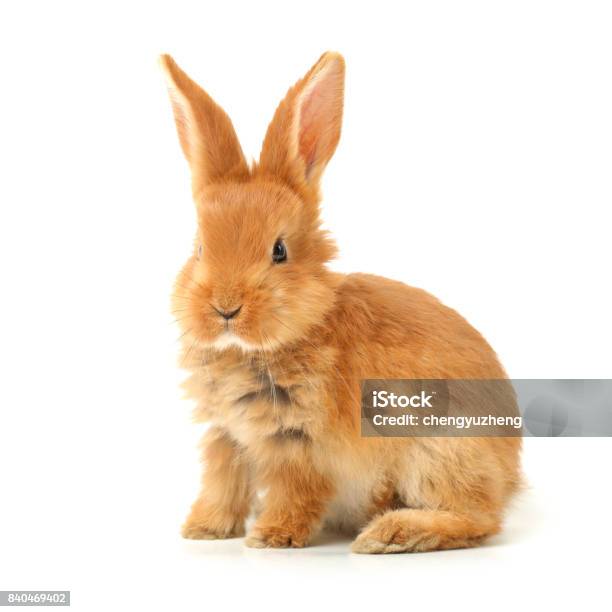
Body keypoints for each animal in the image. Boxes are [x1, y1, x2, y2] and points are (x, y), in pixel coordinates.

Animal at [160, 50, 524, 552]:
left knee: (478, 518)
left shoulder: (301, 443)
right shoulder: (226, 435)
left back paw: (390, 533)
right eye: (198, 249)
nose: (225, 308)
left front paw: (271, 536)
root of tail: (511, 474)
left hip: (440, 451)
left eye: (279, 250)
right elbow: (222, 484)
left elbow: (295, 490)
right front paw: (204, 530)